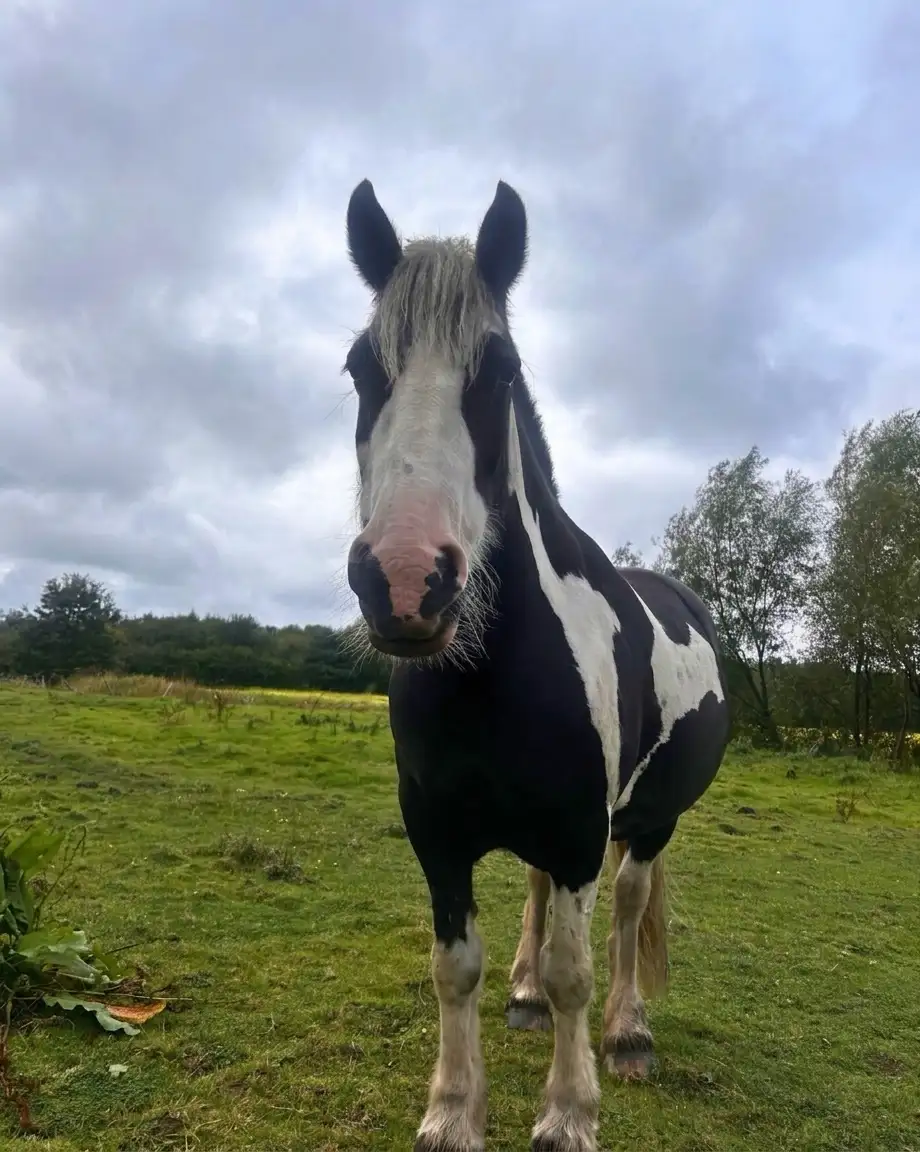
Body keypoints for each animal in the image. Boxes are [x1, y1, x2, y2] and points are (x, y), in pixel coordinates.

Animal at [341, 177, 730, 1152]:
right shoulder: (438, 833)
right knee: (535, 893)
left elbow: (574, 974)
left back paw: (627, 1035)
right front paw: (452, 1111)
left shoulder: (581, 831)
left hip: (646, 824)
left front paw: (568, 1110)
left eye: (502, 370)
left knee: (626, 909)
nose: (406, 579)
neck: (497, 671)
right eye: (361, 368)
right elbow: (456, 967)